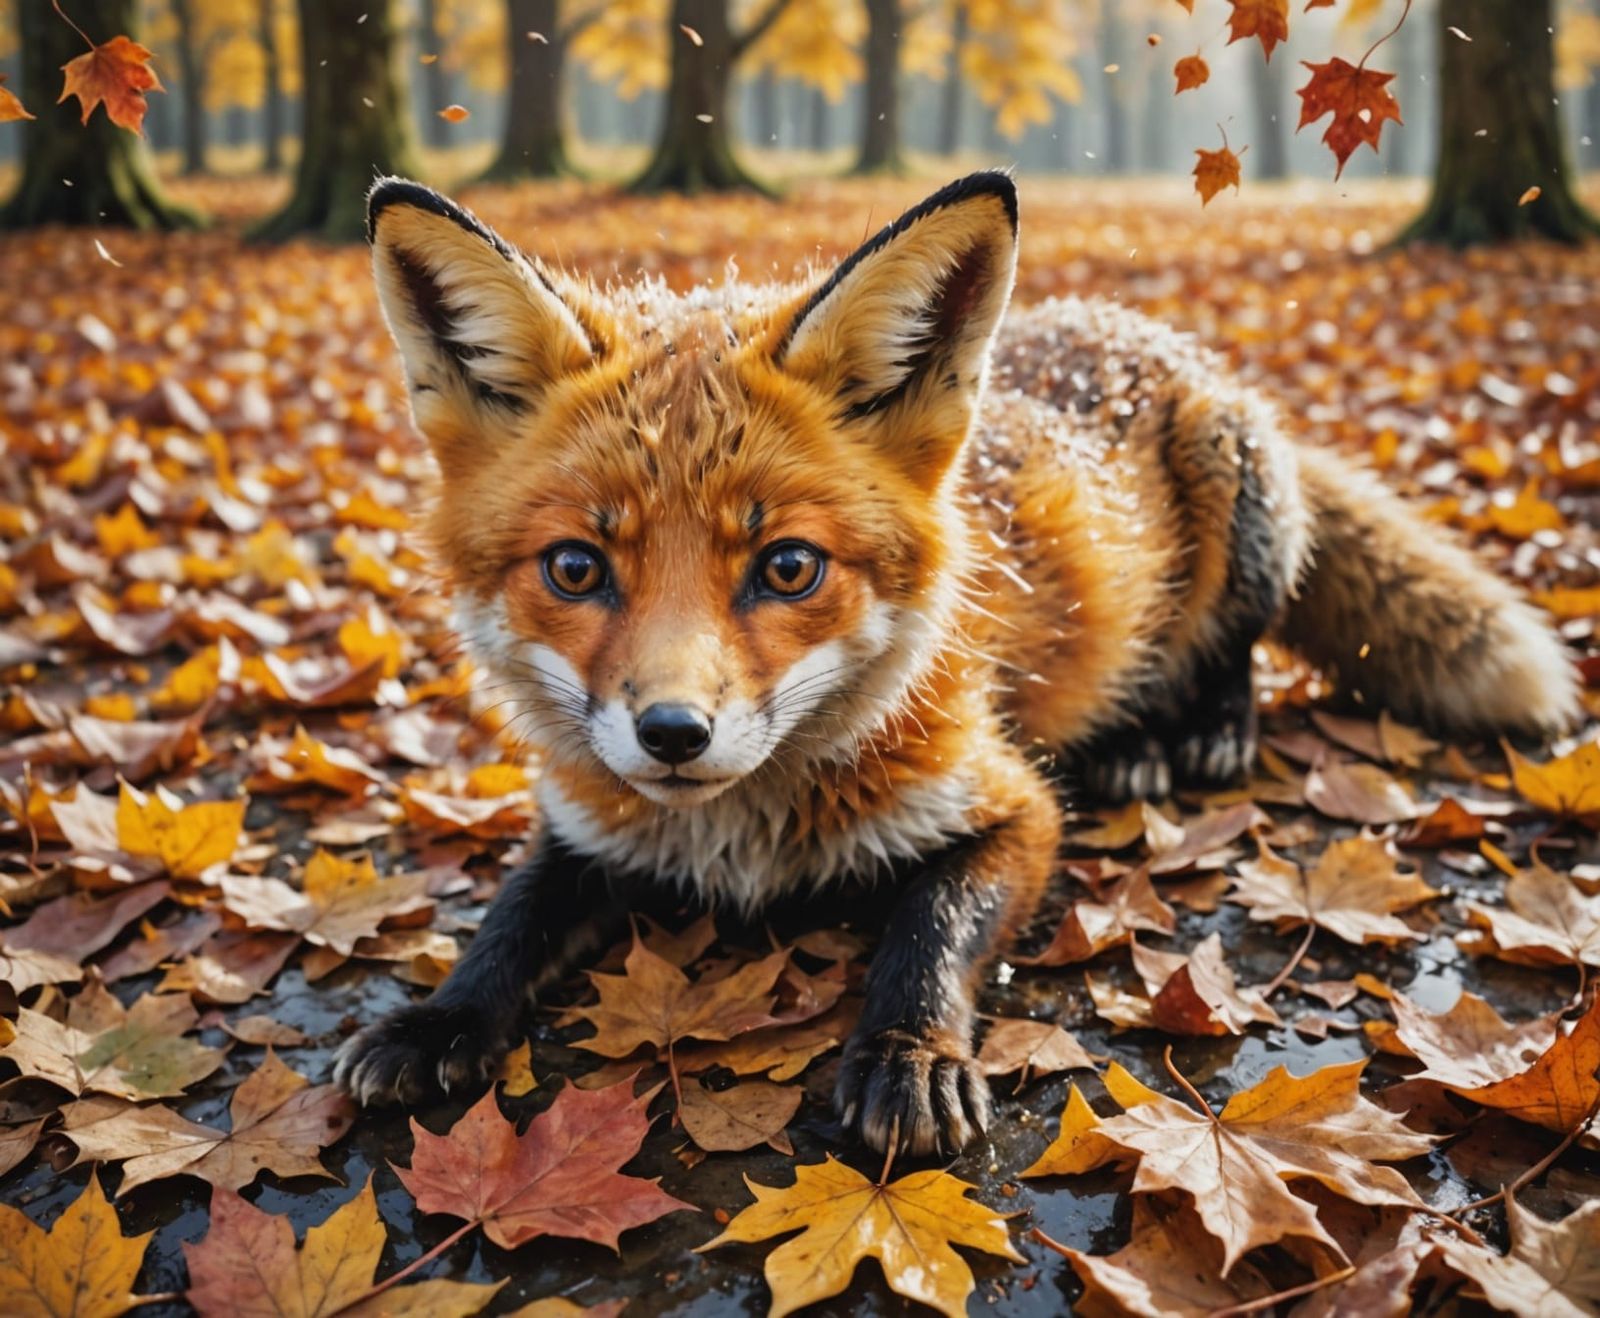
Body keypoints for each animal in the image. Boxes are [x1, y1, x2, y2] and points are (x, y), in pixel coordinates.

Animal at [335, 171, 1578, 1157]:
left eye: (788, 566)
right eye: (576, 567)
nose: (674, 734)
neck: (744, 837)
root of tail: (1136, 325)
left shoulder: (1011, 809)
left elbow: (927, 929)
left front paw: (908, 1051)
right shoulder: (588, 827)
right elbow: (508, 920)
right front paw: (439, 1018)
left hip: (1244, 508)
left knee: (1235, 656)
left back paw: (1180, 737)